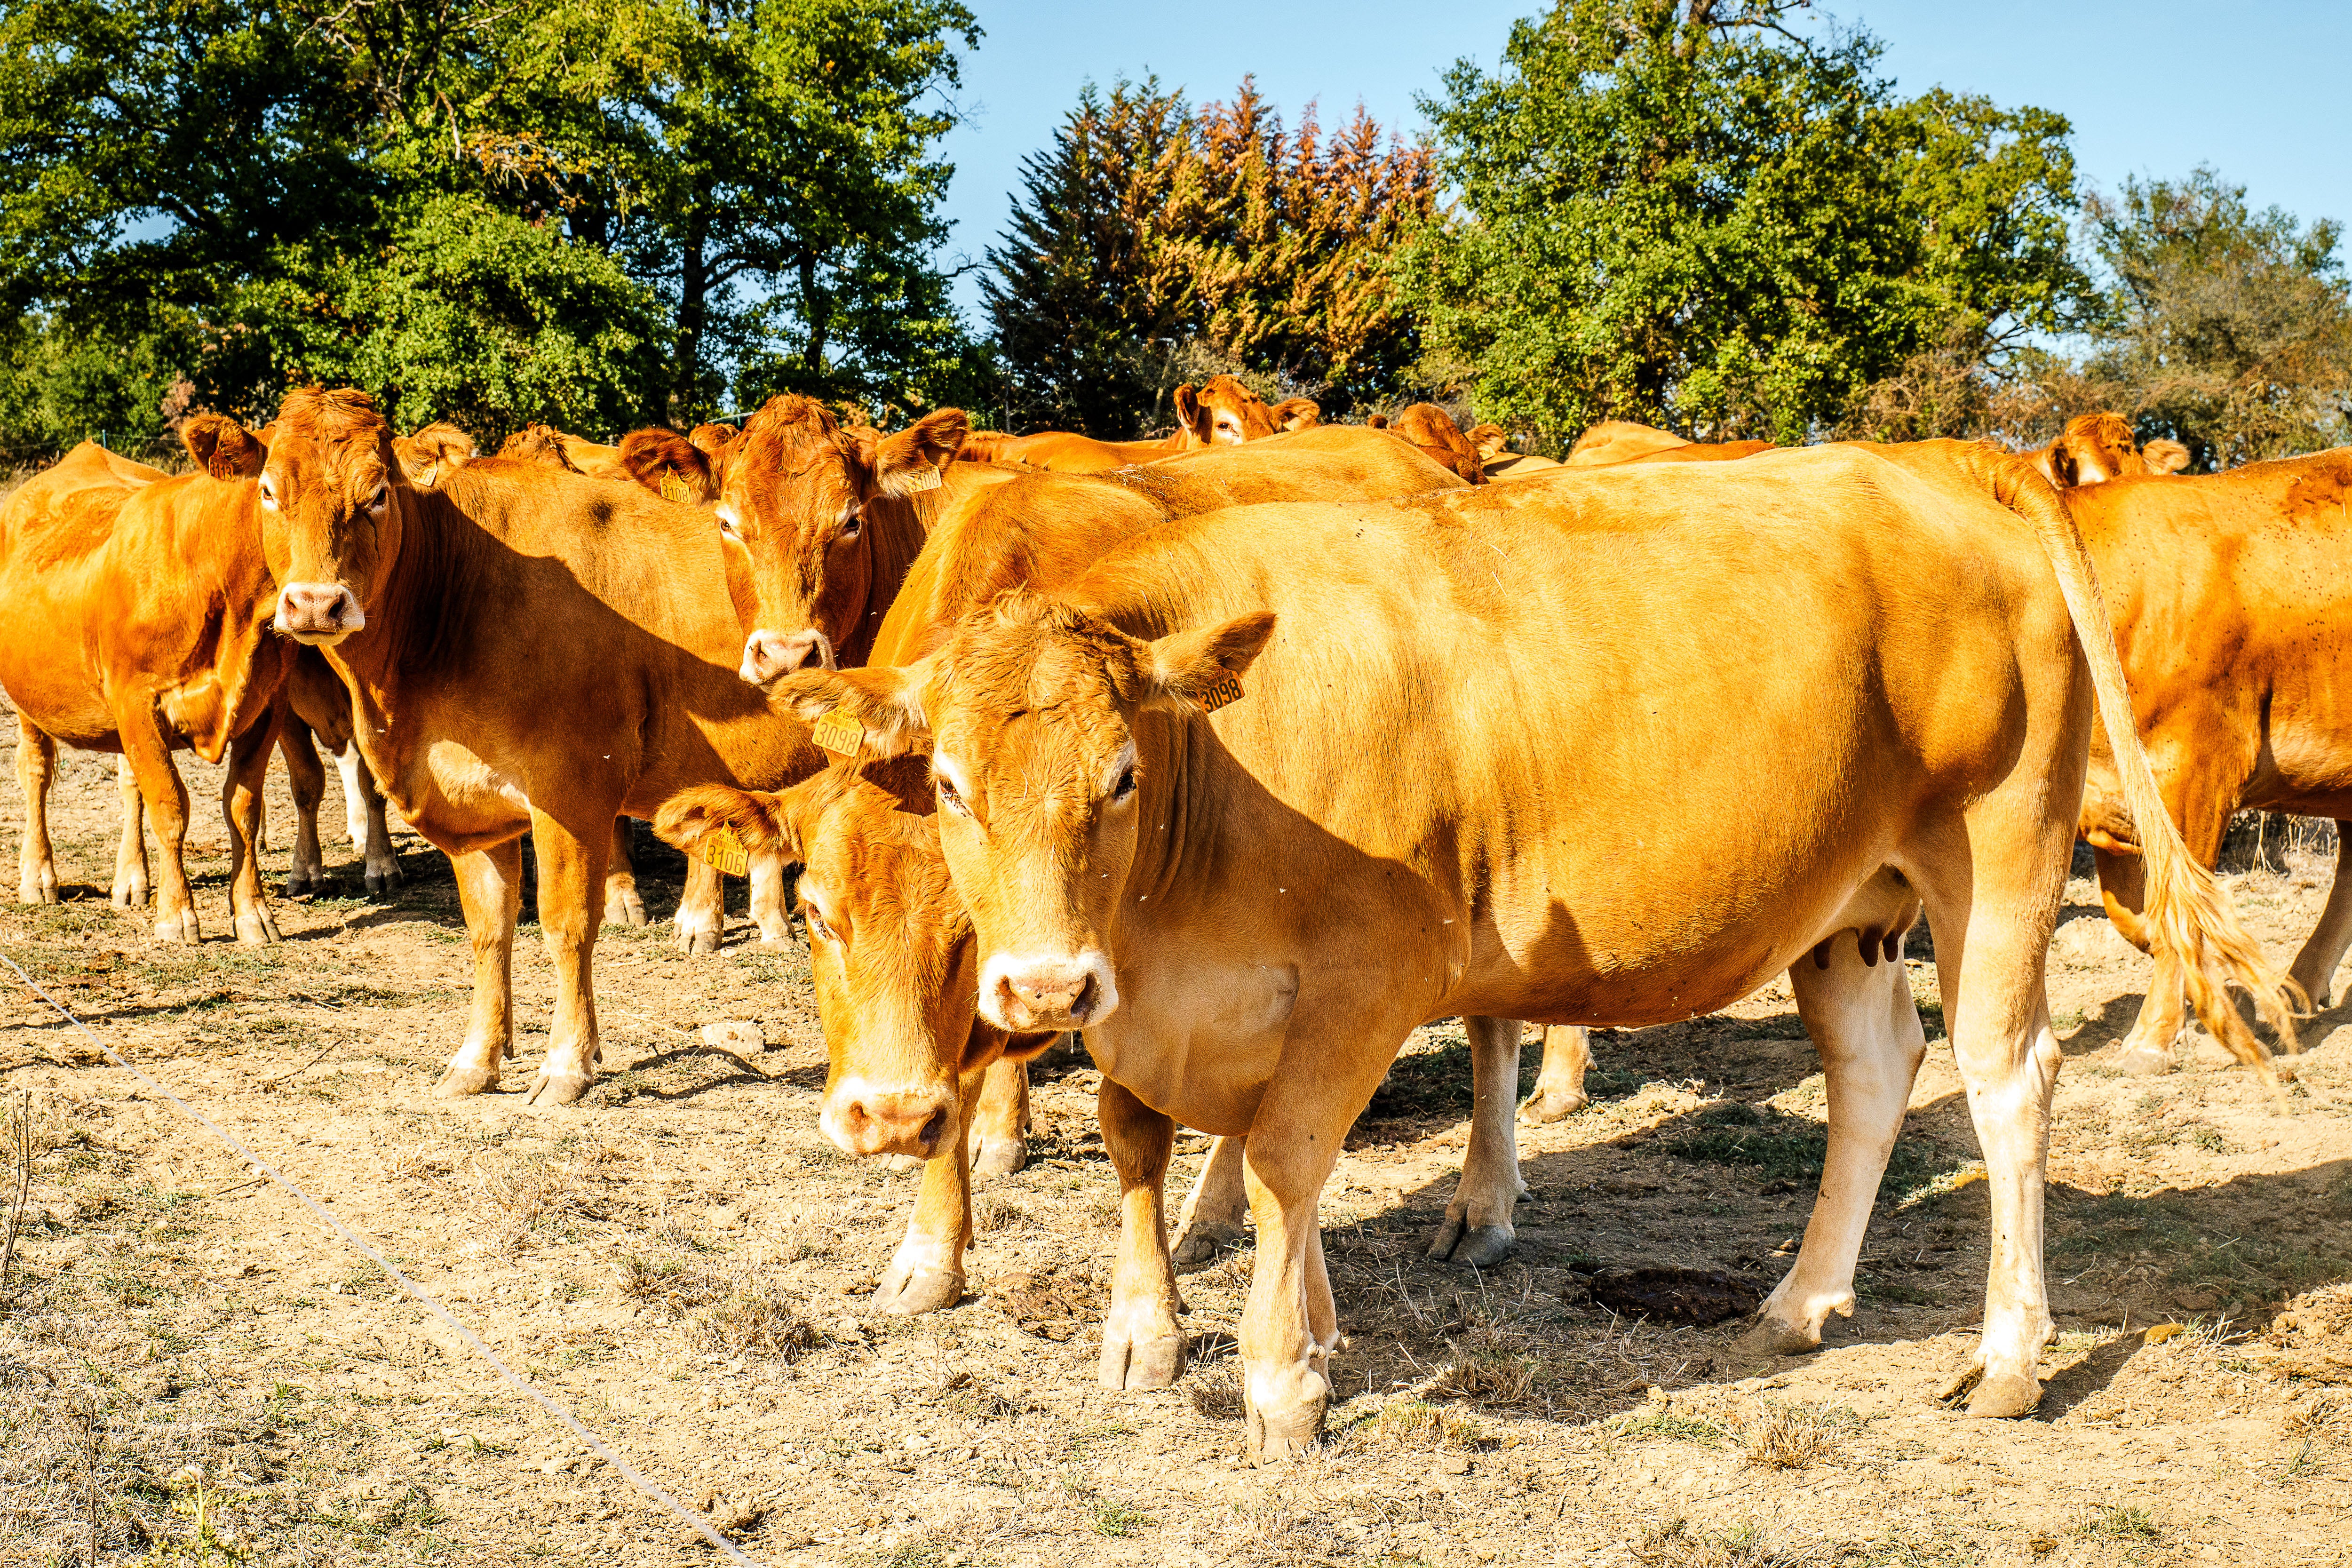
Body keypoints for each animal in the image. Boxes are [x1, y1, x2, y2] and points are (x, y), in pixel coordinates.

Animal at [2, 420, 290, 942]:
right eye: (270, 491)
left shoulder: (270, 702)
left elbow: (242, 806)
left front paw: (254, 914)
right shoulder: (138, 700)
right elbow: (170, 806)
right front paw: (177, 915)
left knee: (129, 782)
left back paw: (132, 879)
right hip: (27, 699)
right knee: (35, 771)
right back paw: (38, 876)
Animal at [251, 386, 824, 1105]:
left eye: (377, 493)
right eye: (269, 490)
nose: (315, 605)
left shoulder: (571, 792)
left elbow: (566, 924)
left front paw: (567, 1063)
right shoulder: (473, 804)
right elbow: (490, 930)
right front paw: (476, 1059)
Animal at [767, 440, 2293, 1459]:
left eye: (1121, 777)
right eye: (948, 783)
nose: (1038, 984)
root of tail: (1946, 458)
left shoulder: (1359, 984)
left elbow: (1280, 1162)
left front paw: (1281, 1376)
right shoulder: (1140, 1004)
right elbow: (1143, 1142)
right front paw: (1157, 1331)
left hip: (2001, 847)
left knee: (2007, 1079)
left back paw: (2009, 1359)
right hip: (1851, 902)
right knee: (1875, 1073)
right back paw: (1799, 1300)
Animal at [2062, 447, 2352, 1072]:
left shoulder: (2199, 764)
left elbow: (2175, 908)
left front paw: (2152, 1037)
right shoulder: (2109, 799)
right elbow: (2138, 916)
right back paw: (2295, 991)